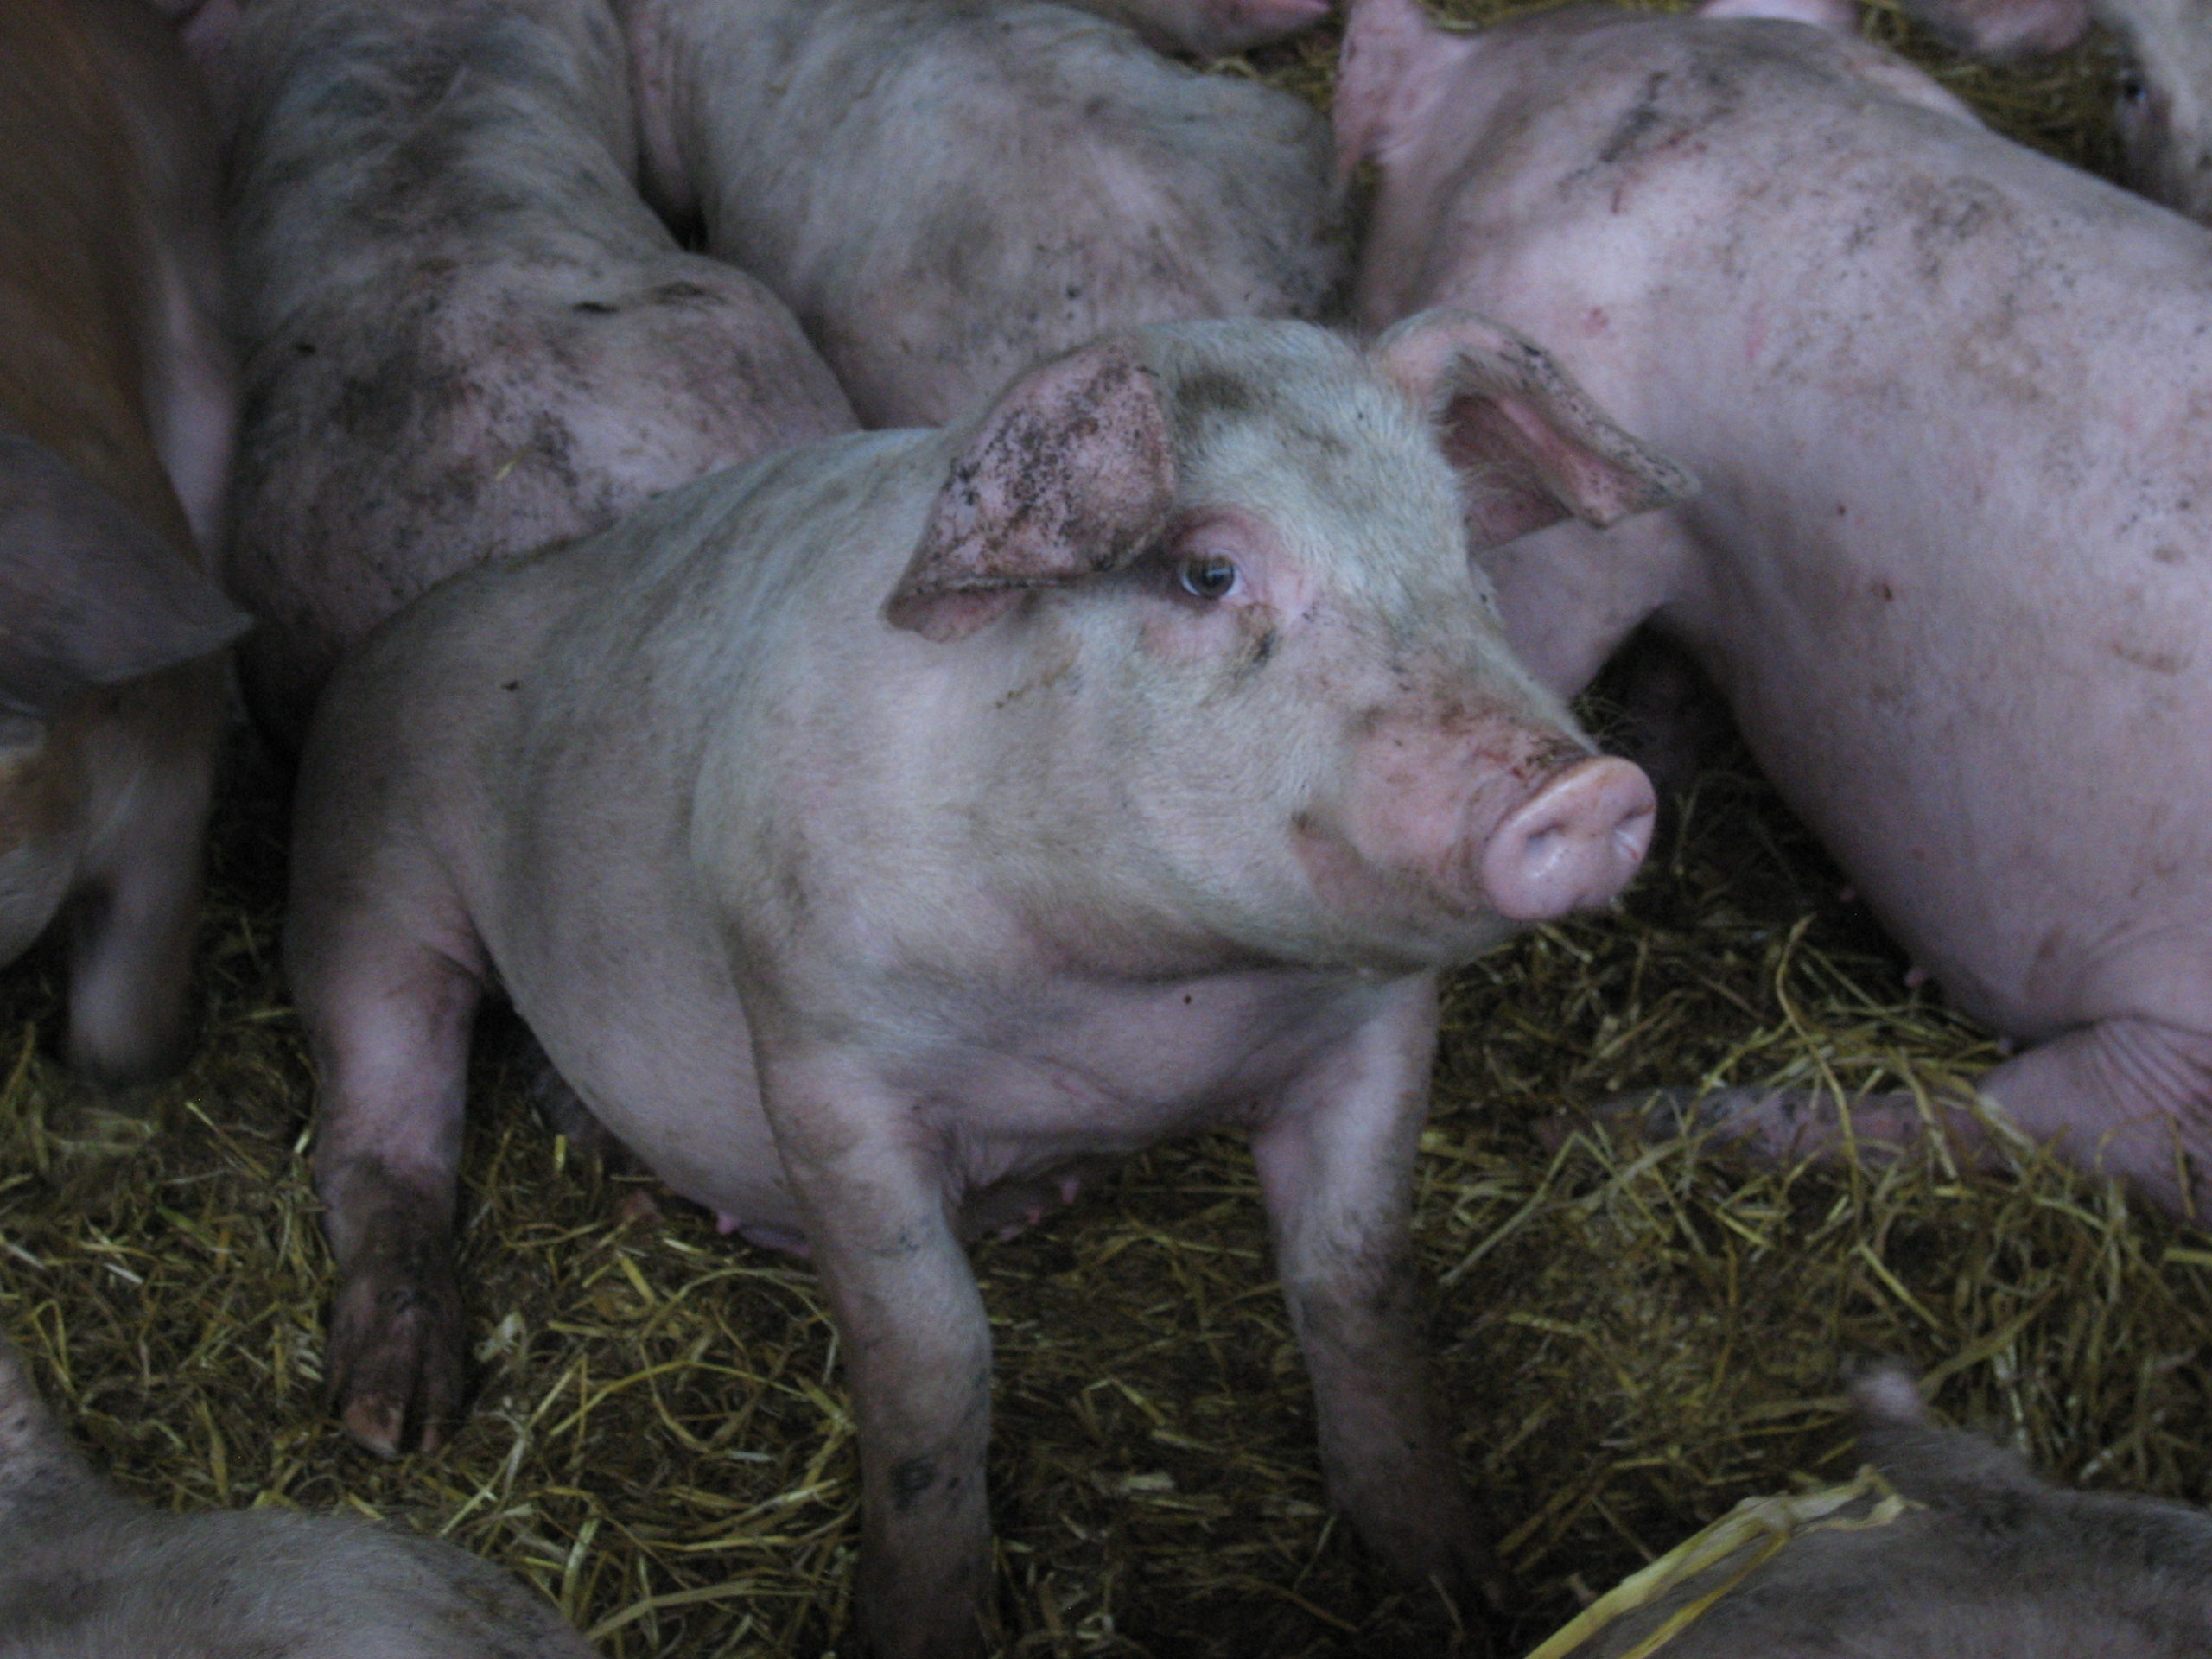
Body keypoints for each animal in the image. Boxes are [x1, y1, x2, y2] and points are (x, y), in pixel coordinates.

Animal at [287, 313, 1686, 1657]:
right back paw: (395, 1417)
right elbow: (930, 1362)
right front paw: (918, 1628)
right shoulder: (824, 1062)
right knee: (379, 1131)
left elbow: (1363, 1286)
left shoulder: (1379, 1030)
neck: (1140, 995)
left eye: (1463, 552)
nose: (1589, 789)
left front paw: (1464, 1595)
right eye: (1205, 571)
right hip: (369, 869)